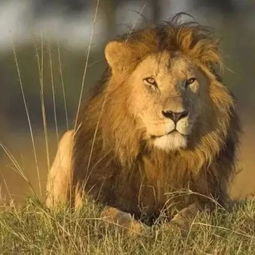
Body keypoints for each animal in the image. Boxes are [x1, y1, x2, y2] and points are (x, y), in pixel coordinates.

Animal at [45, 15, 239, 233]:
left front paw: (170, 229)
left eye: (190, 81)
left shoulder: (213, 199)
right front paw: (140, 232)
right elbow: (112, 215)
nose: (175, 114)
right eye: (150, 81)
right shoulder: (95, 200)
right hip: (67, 140)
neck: (161, 159)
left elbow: (193, 211)